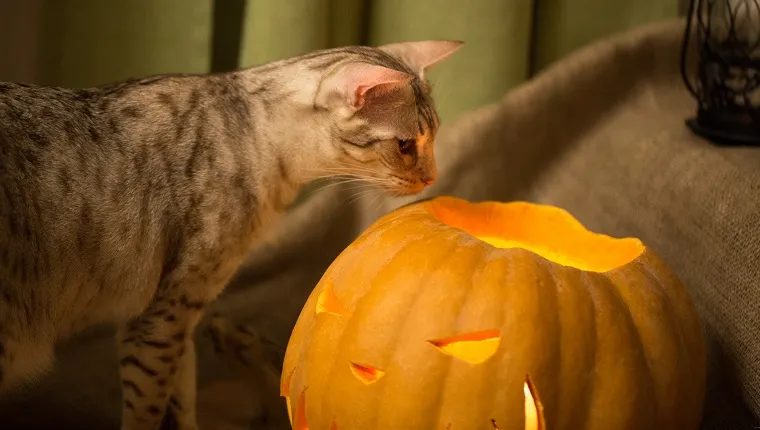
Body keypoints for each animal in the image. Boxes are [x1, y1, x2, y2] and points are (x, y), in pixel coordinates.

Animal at [0, 39, 464, 426]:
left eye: (433, 137)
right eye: (405, 145)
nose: (431, 177)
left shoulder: (178, 320)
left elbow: (182, 395)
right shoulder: (161, 314)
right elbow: (148, 406)